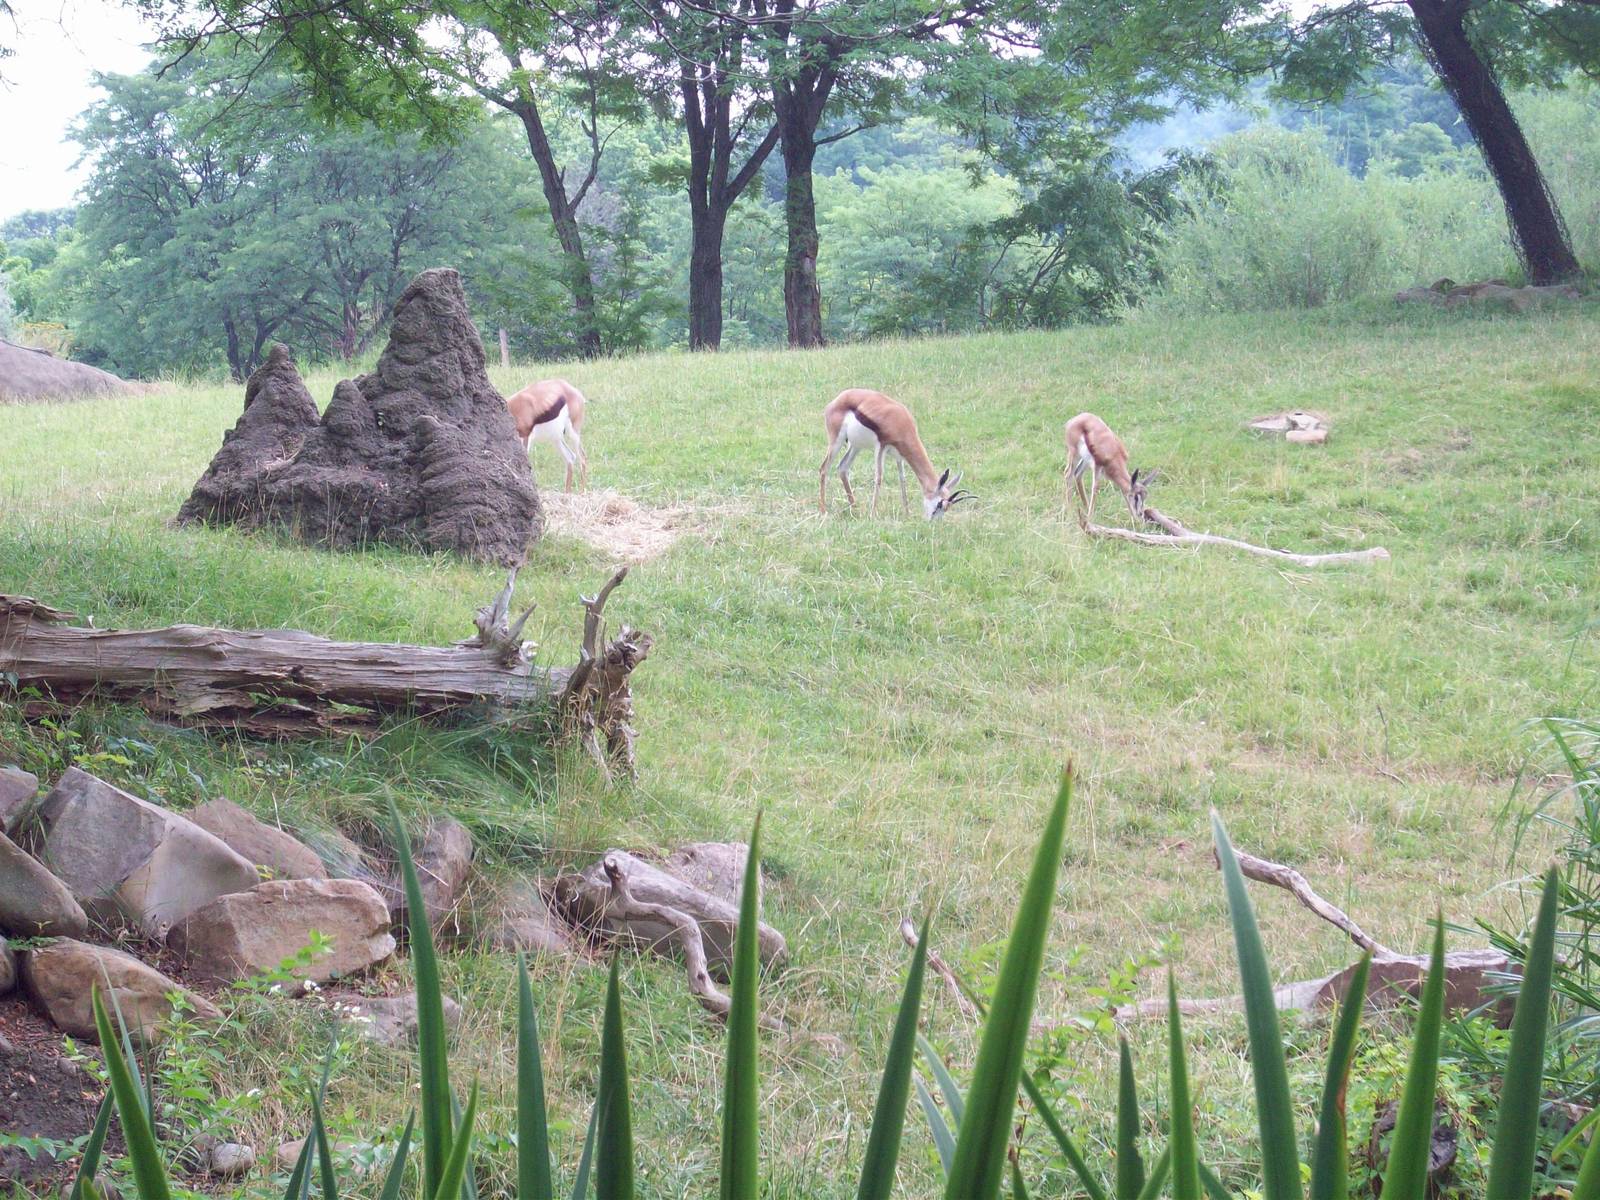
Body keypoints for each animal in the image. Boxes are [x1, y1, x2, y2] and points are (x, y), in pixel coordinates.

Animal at [818, 388, 972, 518]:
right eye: (940, 503)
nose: (933, 521)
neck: (901, 423)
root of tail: (837, 399)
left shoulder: (899, 456)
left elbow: (902, 479)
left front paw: (907, 513)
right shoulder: (881, 447)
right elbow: (879, 477)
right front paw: (872, 515)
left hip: (856, 446)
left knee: (842, 468)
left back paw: (855, 508)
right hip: (836, 441)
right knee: (824, 469)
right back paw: (823, 511)